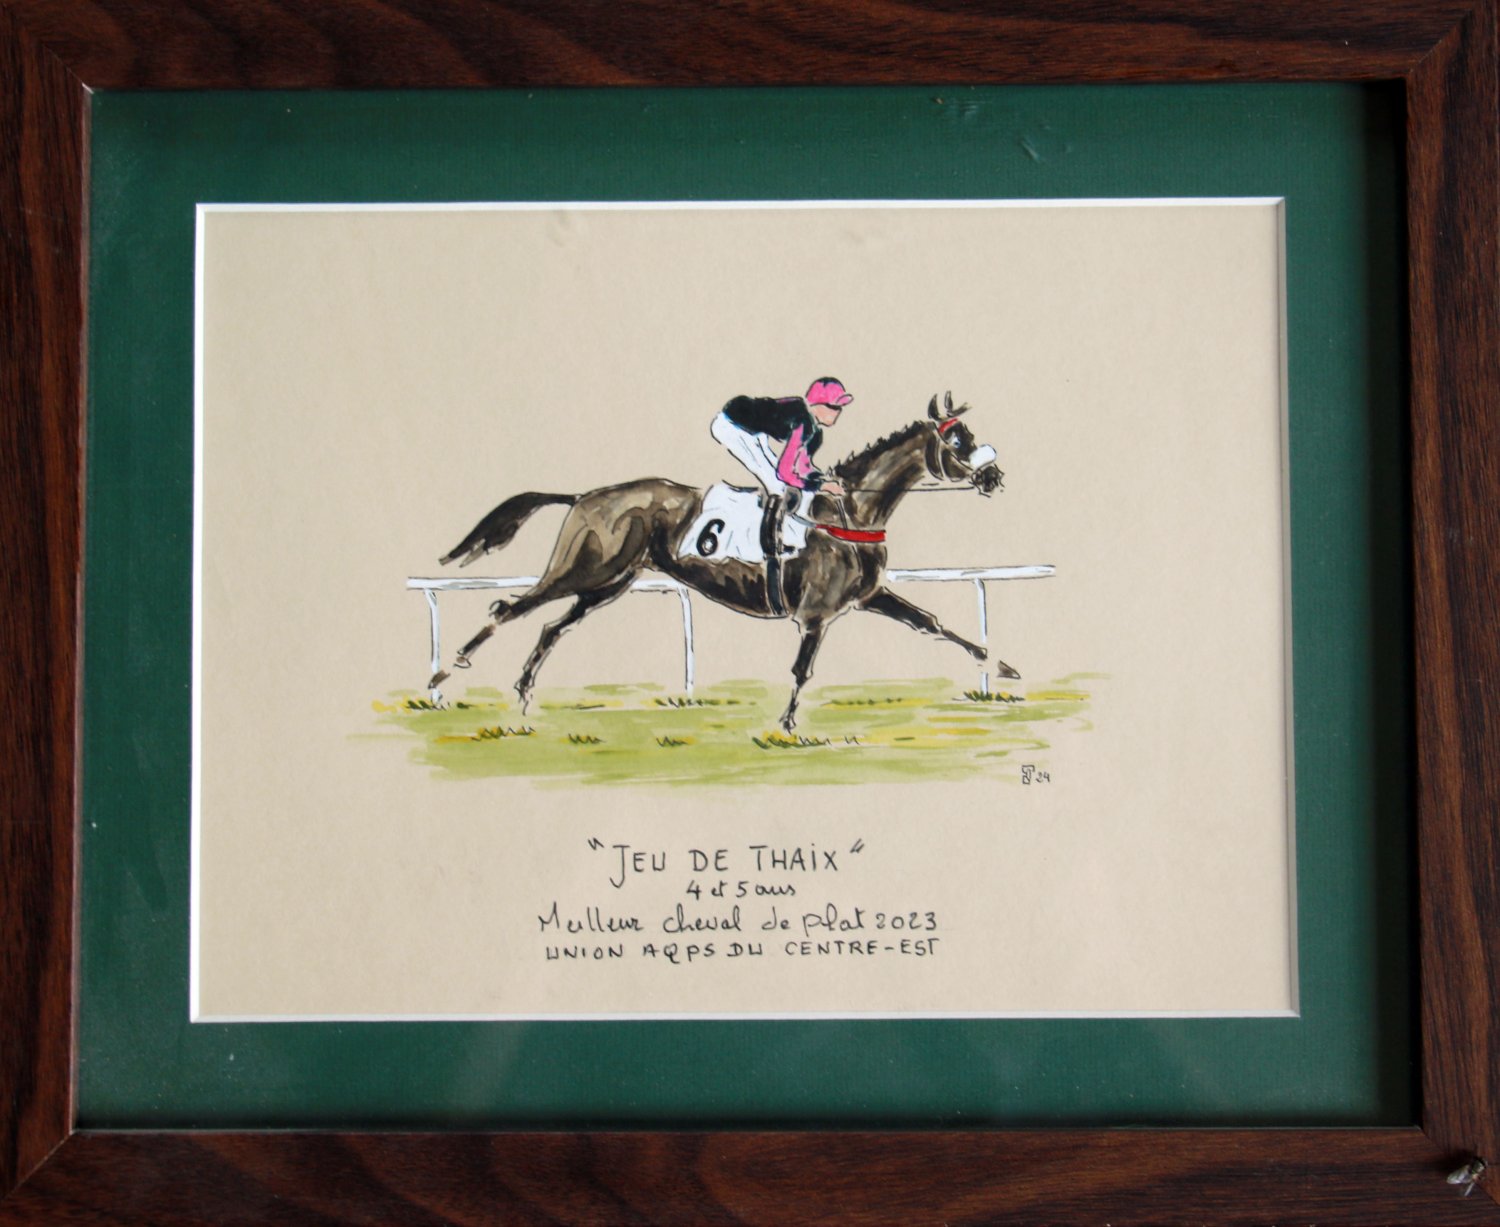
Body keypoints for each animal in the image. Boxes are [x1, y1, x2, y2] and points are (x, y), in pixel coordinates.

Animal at [430, 393, 1014, 732]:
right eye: (957, 439)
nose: (993, 477)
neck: (851, 509)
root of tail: (583, 496)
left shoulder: (871, 596)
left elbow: (934, 624)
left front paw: (1002, 665)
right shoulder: (817, 614)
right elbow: (802, 668)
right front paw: (787, 723)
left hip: (607, 584)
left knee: (551, 626)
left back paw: (522, 694)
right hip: (585, 568)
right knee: (510, 607)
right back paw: (447, 667)